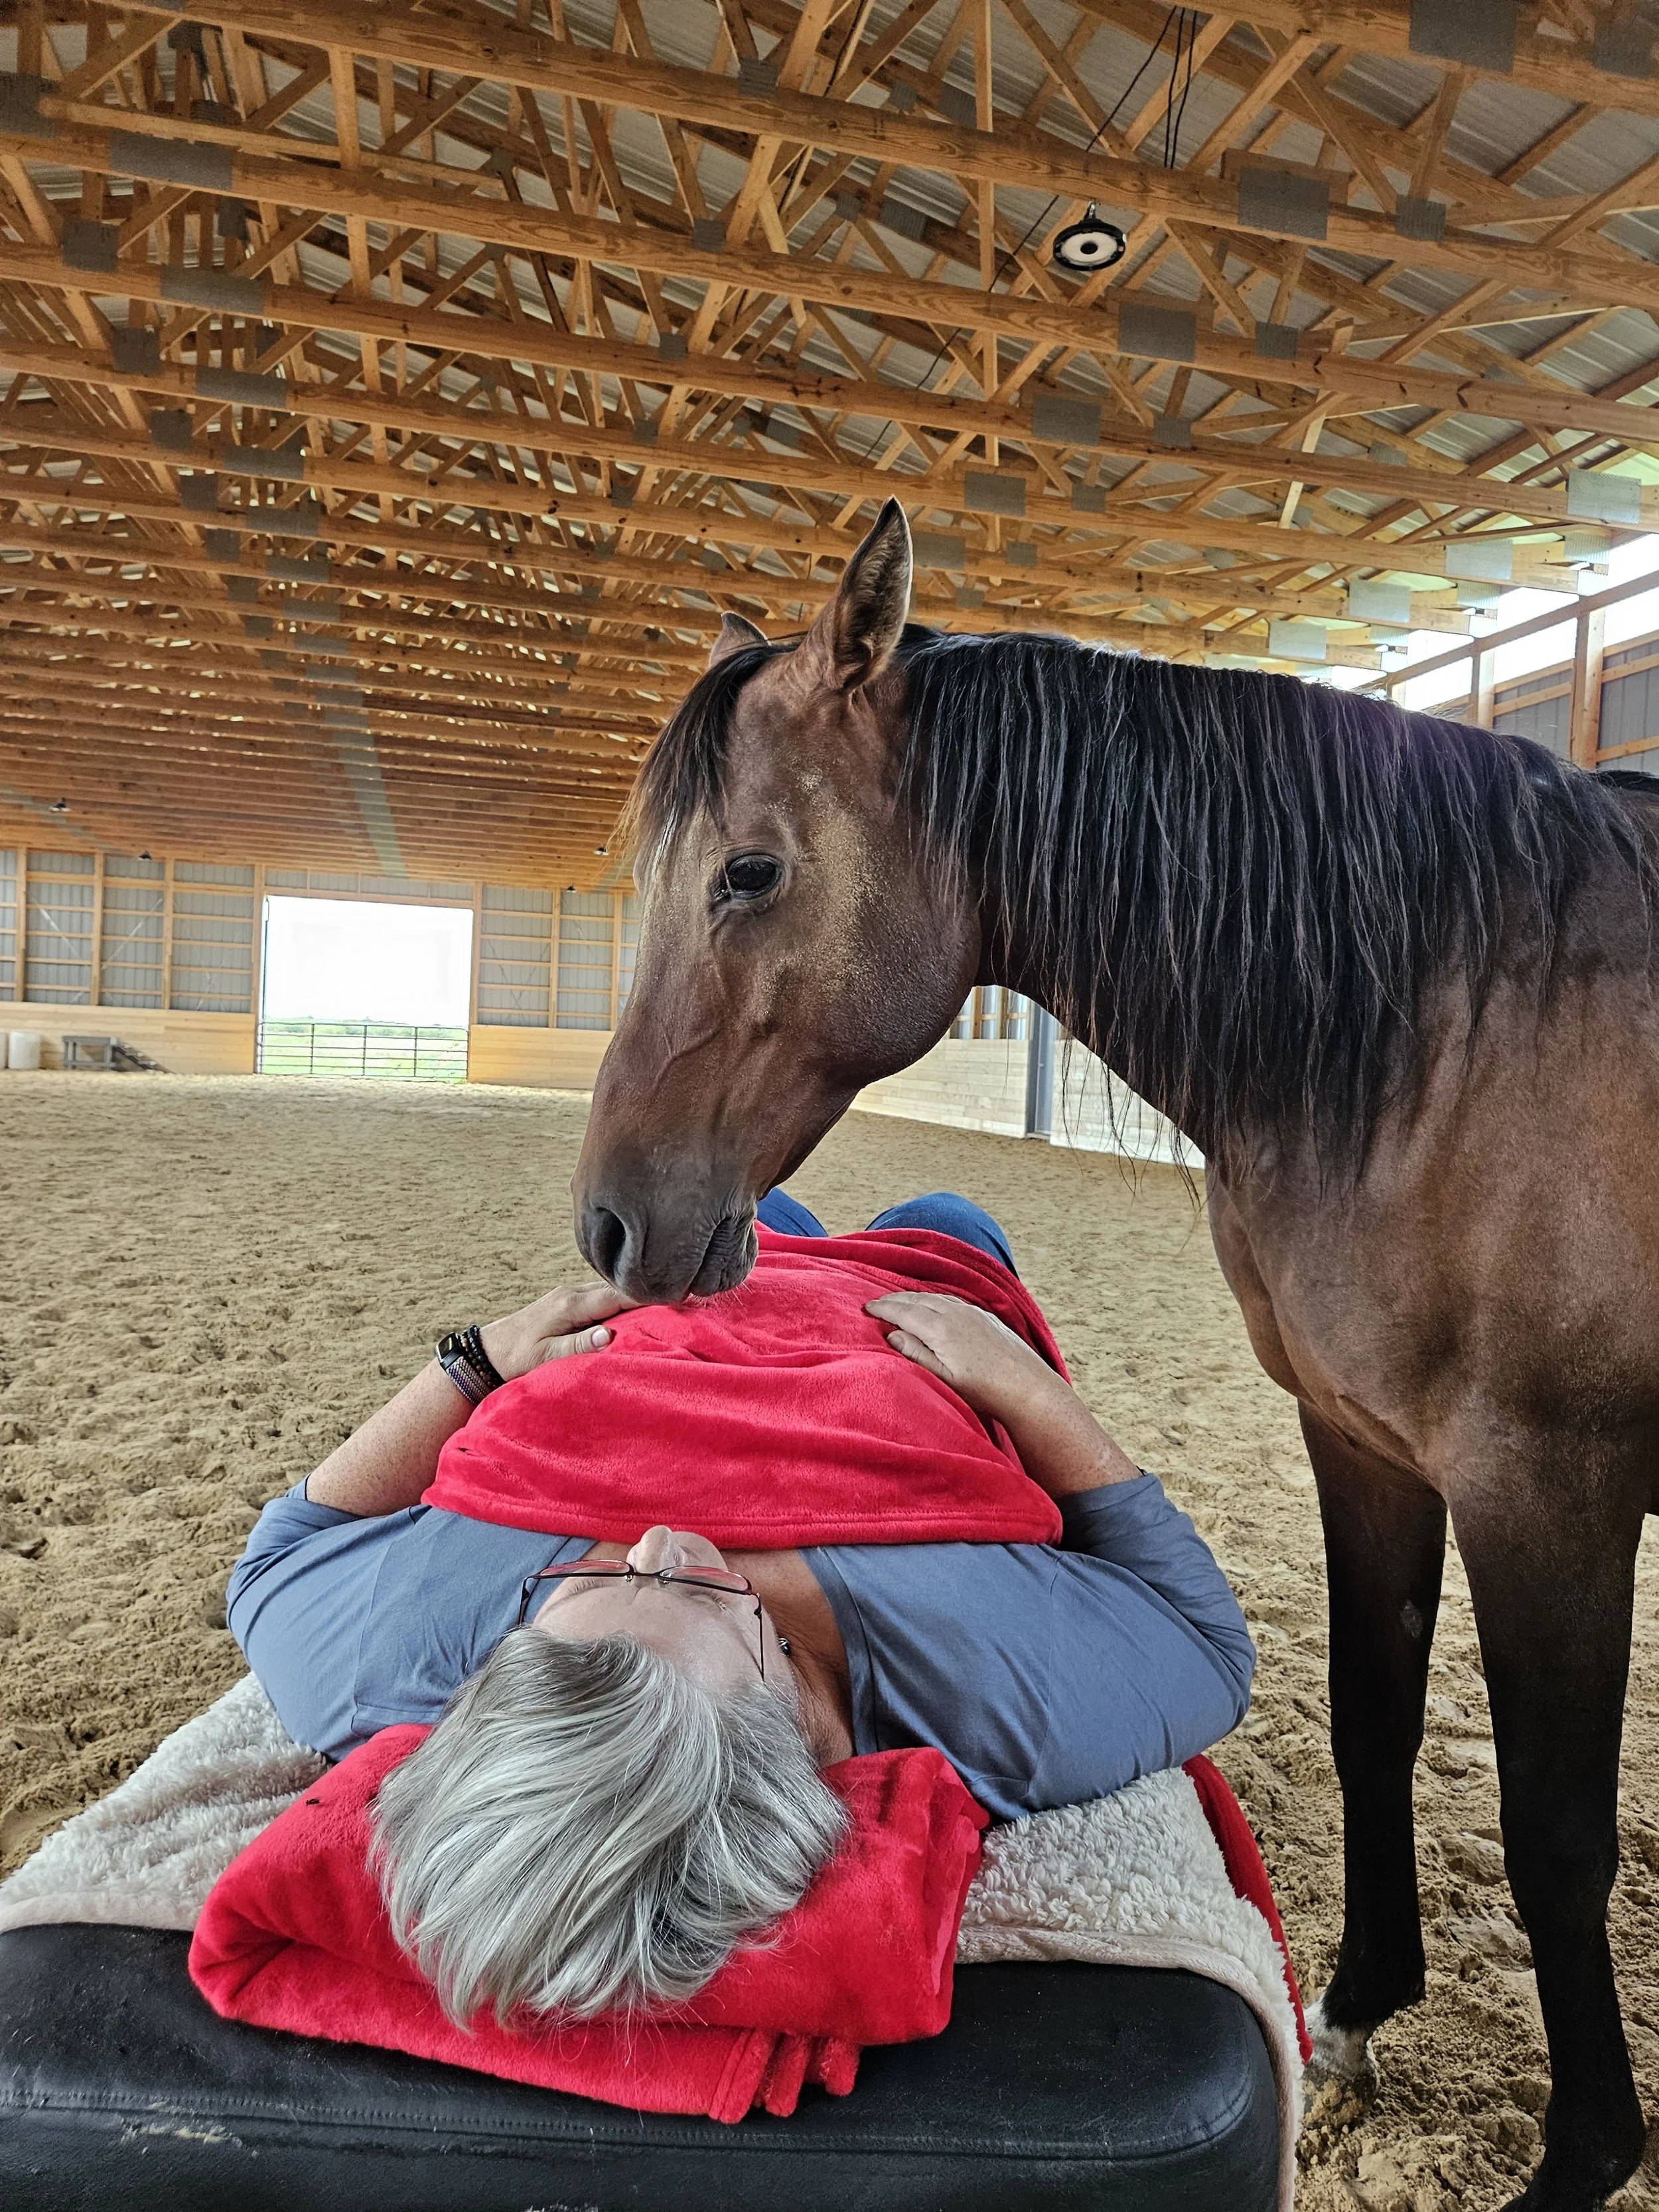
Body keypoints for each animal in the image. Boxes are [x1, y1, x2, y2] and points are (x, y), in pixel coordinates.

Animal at [572, 498, 1659, 2211]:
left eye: (748, 870)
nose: (611, 1225)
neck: (1453, 1029)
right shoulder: (1363, 1442)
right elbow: (1372, 1717)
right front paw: (1357, 2009)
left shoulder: (1550, 1491)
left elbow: (1555, 1833)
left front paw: (1582, 2159)